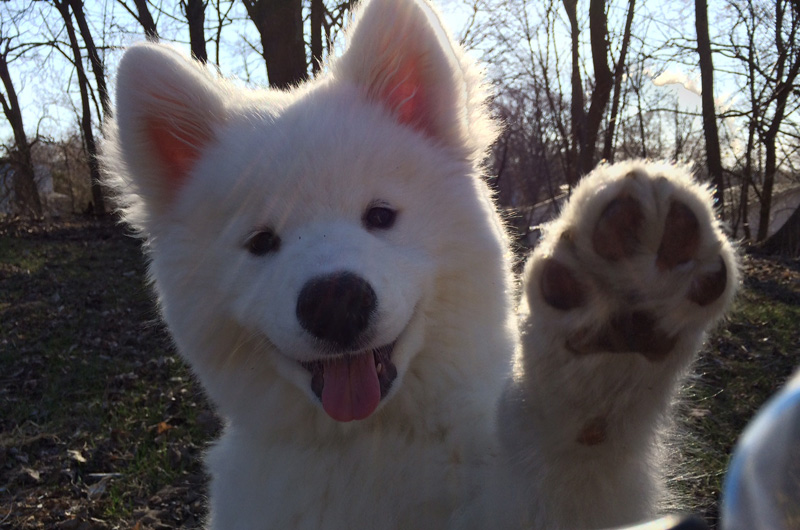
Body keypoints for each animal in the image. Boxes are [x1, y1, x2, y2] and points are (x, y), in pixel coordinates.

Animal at [103, 0, 740, 524]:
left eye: (380, 215)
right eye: (261, 242)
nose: (335, 301)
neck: (372, 444)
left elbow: (577, 453)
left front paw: (620, 320)